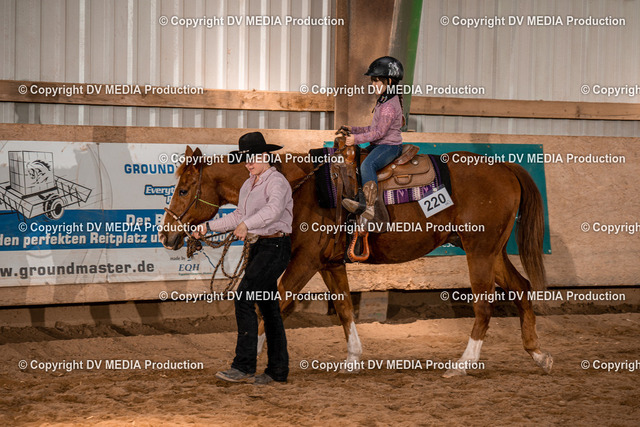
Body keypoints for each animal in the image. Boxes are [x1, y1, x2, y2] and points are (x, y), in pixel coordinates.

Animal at [159, 145, 553, 377]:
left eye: (183, 189)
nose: (165, 235)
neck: (299, 188)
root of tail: (505, 168)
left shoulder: (305, 262)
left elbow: (277, 301)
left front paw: (251, 357)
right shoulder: (329, 263)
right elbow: (346, 307)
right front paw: (353, 358)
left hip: (480, 251)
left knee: (485, 305)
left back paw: (463, 365)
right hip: (492, 251)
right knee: (522, 289)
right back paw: (537, 354)